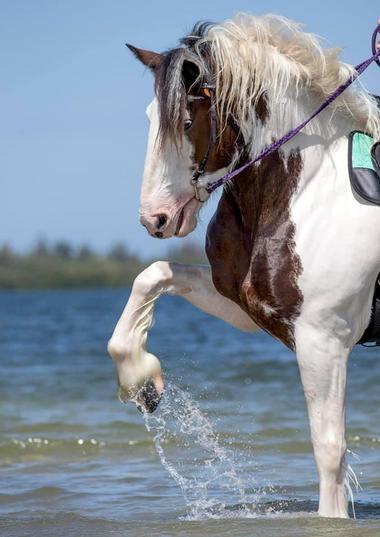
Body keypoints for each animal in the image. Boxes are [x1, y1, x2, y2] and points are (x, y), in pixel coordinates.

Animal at [107, 15, 380, 520]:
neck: (305, 191)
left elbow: (329, 452)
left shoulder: (323, 340)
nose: (154, 219)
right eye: (152, 119)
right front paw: (141, 381)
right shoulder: (247, 307)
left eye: (188, 122)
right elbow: (153, 276)